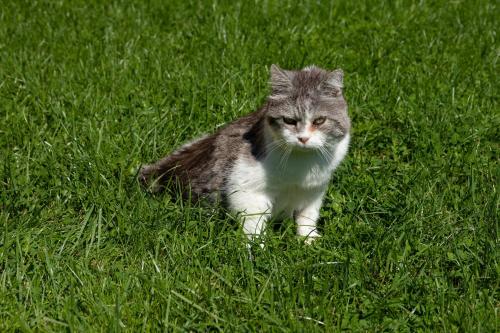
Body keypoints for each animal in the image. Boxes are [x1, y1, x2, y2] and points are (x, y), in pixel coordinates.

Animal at [140, 63, 352, 243]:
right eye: (289, 121)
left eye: (319, 121)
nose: (303, 138)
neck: (301, 164)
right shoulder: (246, 189)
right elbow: (254, 226)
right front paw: (258, 253)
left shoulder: (313, 191)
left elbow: (307, 218)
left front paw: (309, 240)